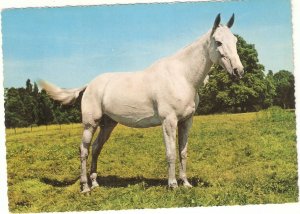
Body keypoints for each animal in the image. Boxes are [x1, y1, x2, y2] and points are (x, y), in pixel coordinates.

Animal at [39, 14, 244, 193]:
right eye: (218, 42)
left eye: (234, 41)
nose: (239, 71)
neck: (182, 77)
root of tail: (89, 85)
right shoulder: (169, 122)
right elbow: (170, 153)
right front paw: (173, 185)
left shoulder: (186, 121)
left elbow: (183, 152)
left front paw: (185, 183)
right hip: (90, 124)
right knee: (84, 150)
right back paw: (85, 187)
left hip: (108, 125)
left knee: (96, 148)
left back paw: (96, 184)